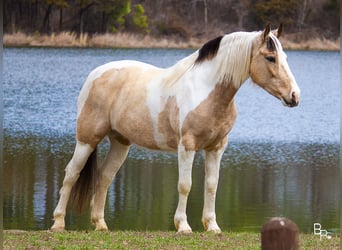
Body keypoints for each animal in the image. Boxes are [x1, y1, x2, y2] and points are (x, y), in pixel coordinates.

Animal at [50, 24, 300, 233]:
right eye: (270, 57)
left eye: (285, 57)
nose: (294, 96)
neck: (206, 90)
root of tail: (96, 74)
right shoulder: (187, 146)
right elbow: (185, 185)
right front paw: (183, 226)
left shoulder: (217, 147)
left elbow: (211, 185)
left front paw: (212, 226)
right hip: (87, 139)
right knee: (71, 174)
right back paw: (58, 223)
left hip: (120, 143)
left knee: (104, 177)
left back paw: (100, 224)